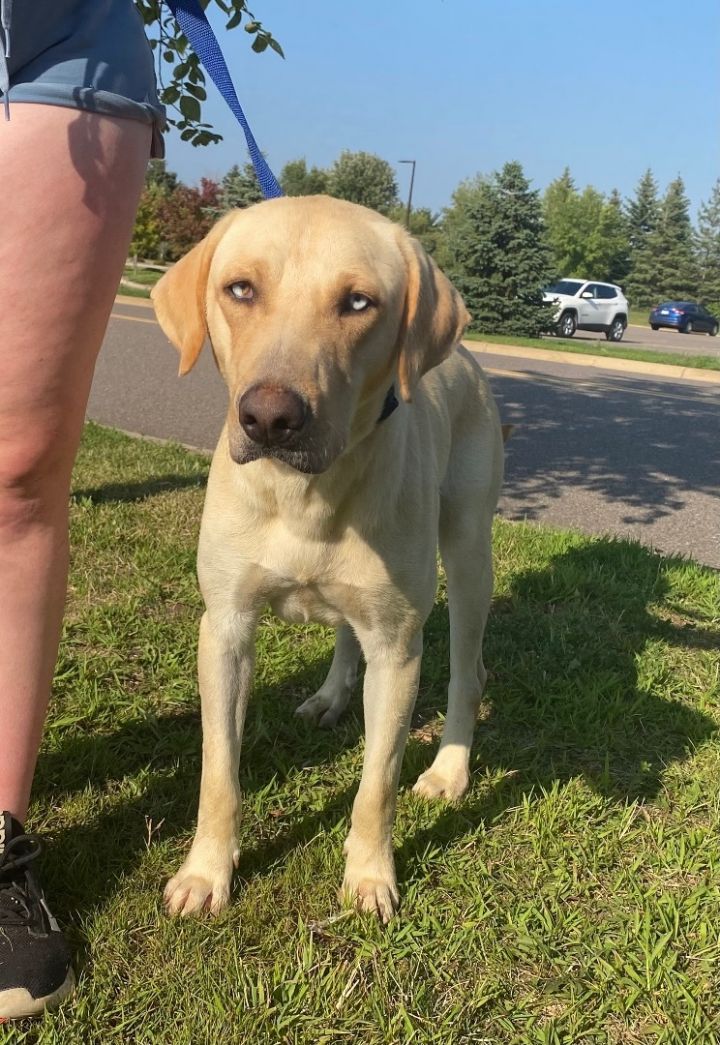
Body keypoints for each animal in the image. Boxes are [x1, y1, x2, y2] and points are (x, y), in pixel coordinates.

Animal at [149, 196, 503, 923]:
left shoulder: (398, 648)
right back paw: (332, 693)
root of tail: (466, 357)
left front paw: (370, 876)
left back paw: (449, 768)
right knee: (345, 630)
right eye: (240, 289)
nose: (268, 418)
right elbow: (218, 771)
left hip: (468, 552)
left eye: (358, 301)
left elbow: (377, 784)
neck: (305, 495)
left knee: (467, 671)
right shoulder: (224, 628)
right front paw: (204, 872)